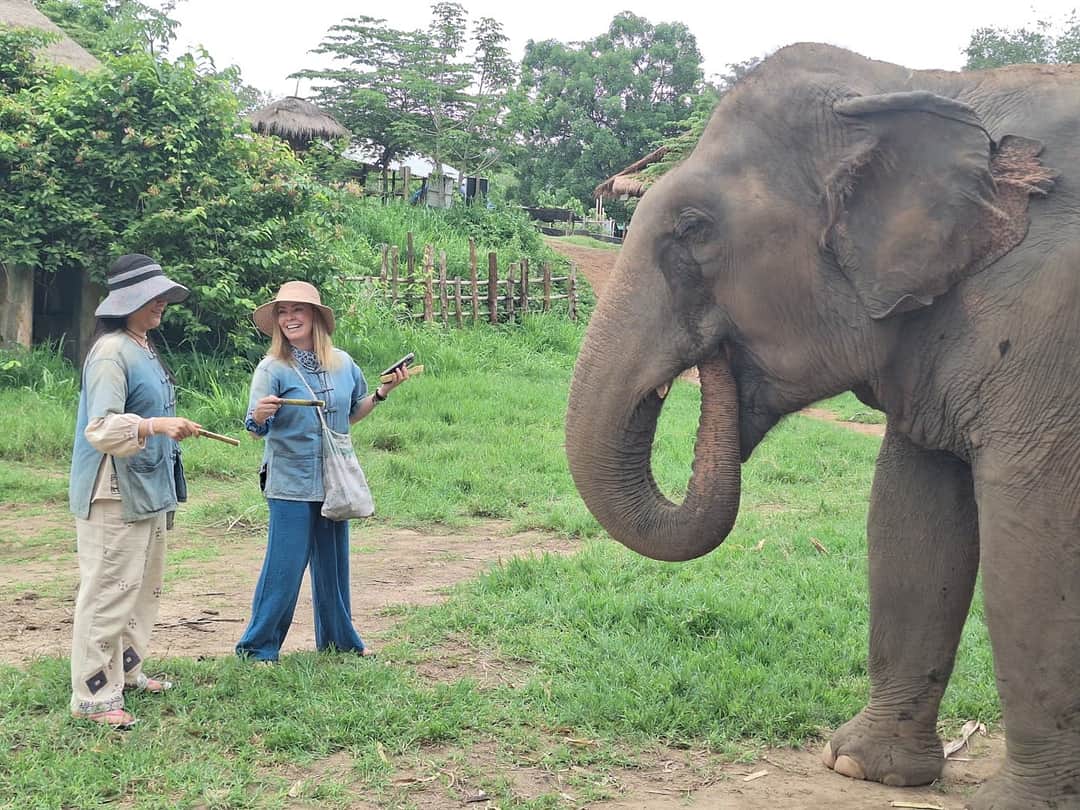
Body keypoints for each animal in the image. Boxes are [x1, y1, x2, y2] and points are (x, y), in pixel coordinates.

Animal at [564, 43, 1079, 809]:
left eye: (694, 228)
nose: (714, 360)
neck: (923, 84)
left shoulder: (1052, 329)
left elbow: (1035, 546)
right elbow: (911, 516)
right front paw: (863, 768)